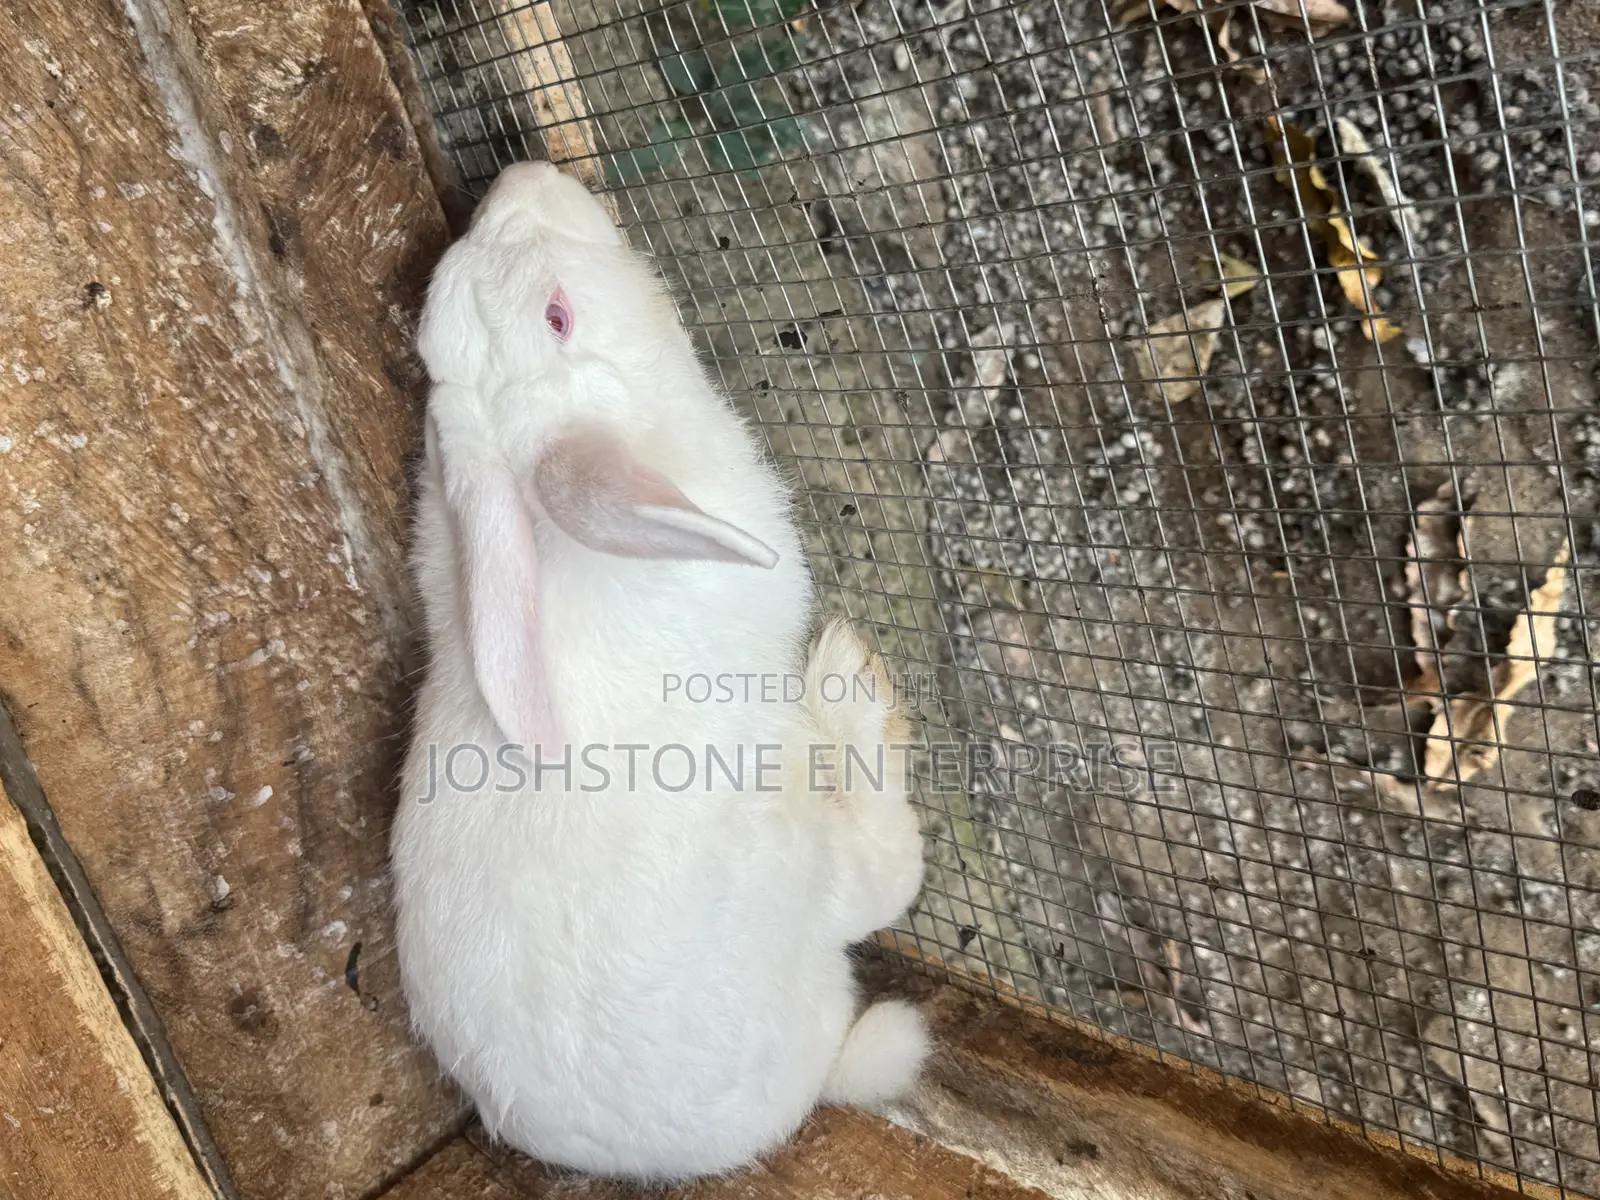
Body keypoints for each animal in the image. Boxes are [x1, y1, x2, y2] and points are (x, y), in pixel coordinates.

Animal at [391, 160, 929, 1181]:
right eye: (558, 316)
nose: (521, 176)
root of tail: (810, 1082)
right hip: (796, 845)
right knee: (889, 876)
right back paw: (849, 682)